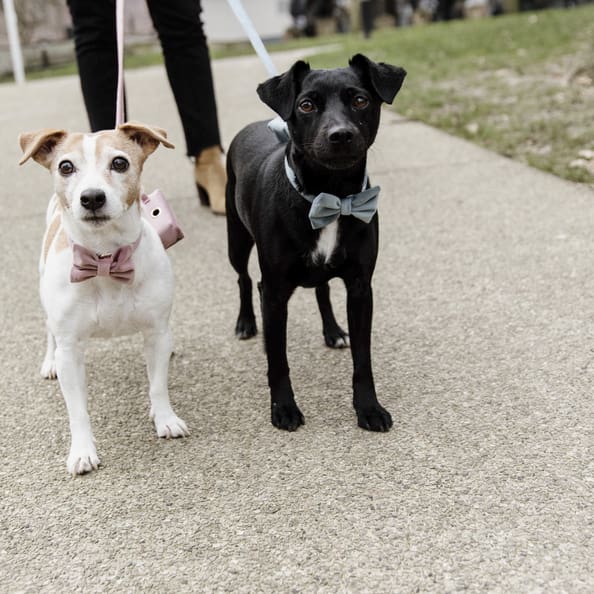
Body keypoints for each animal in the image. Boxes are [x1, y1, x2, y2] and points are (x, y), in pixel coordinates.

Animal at [20, 122, 187, 474]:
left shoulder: (156, 333)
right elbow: (77, 411)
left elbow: (157, 385)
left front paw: (165, 418)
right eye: (65, 167)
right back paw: (48, 361)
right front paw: (82, 451)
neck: (106, 258)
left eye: (120, 163)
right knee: (49, 331)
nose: (92, 197)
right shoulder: (70, 351)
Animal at [224, 54, 404, 430]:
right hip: (236, 241)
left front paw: (368, 408)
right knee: (244, 279)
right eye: (306, 105)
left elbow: (362, 360)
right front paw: (283, 408)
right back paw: (247, 323)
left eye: (360, 100)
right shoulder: (274, 292)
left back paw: (332, 330)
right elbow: (279, 362)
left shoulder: (361, 288)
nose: (340, 135)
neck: (330, 193)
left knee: (322, 288)